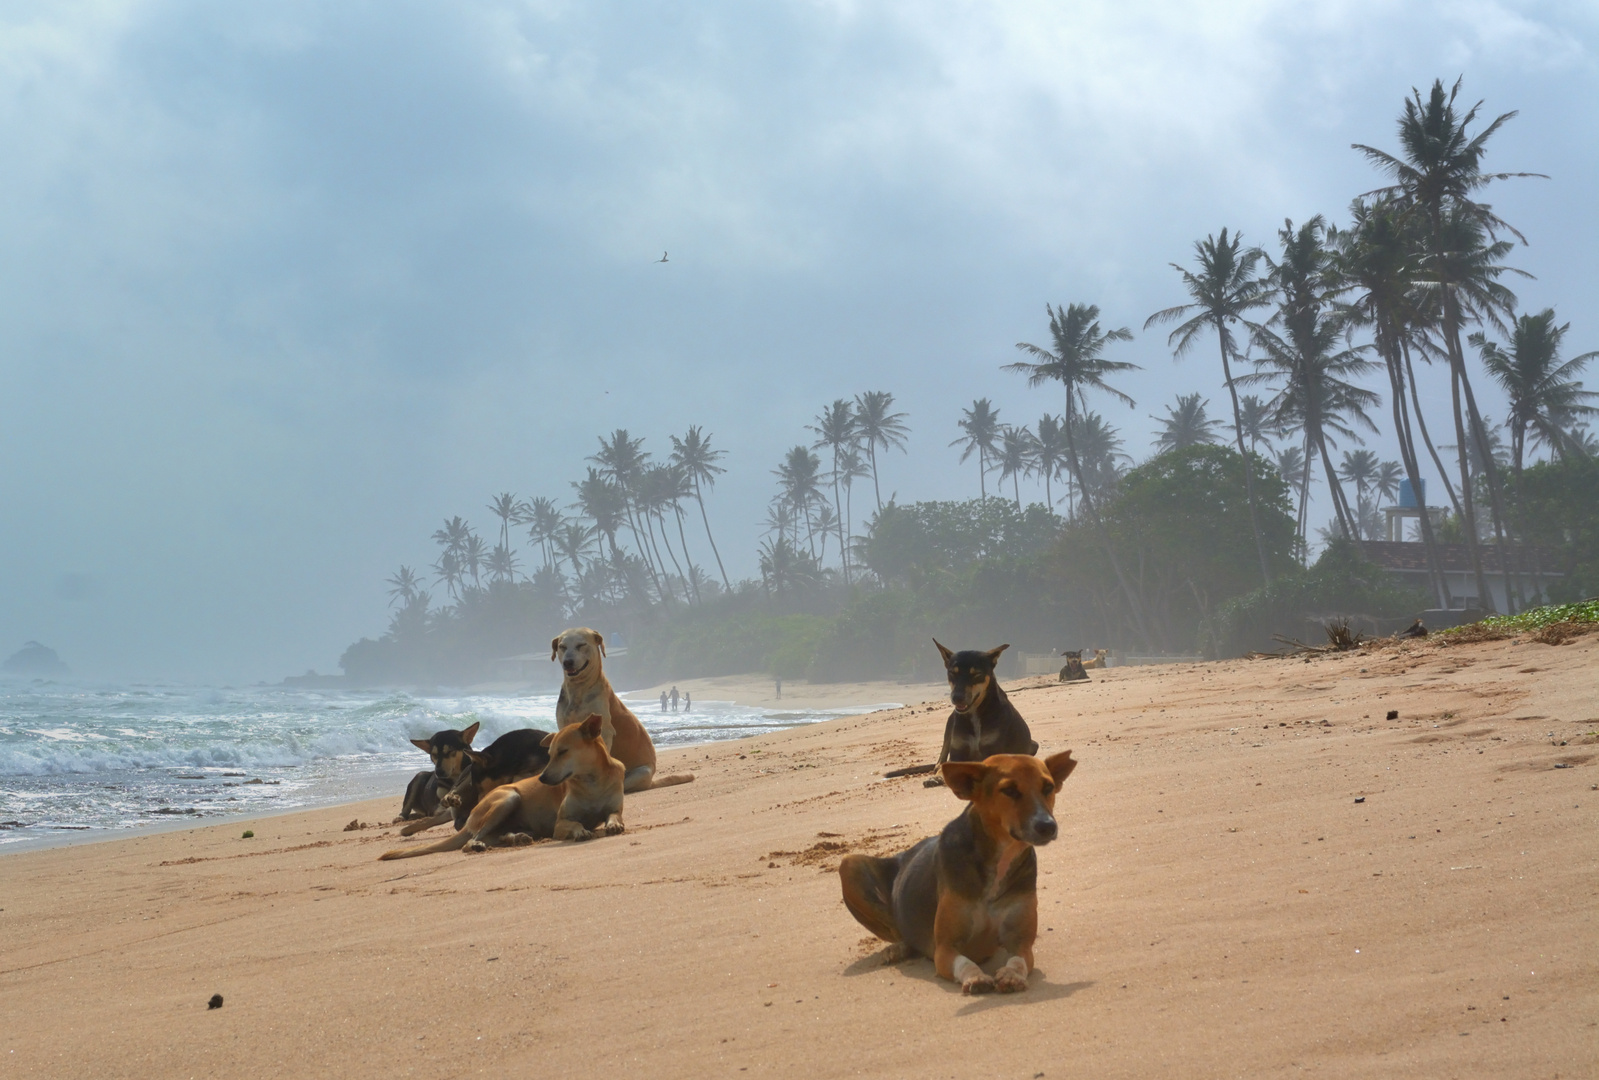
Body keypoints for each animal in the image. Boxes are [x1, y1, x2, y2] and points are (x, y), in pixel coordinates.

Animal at [378, 716, 623, 864]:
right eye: (550, 753)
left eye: (562, 752)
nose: (542, 778)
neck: (591, 782)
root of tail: (469, 821)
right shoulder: (560, 823)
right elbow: (574, 824)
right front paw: (581, 830)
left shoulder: (614, 808)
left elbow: (614, 816)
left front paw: (613, 825)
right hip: (508, 799)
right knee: (470, 842)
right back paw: (480, 842)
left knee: (499, 835)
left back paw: (517, 838)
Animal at [550, 624, 693, 793]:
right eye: (562, 647)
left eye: (581, 645)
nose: (568, 662)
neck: (578, 689)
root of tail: (651, 782)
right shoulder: (563, 726)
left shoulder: (604, 730)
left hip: (642, 771)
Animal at [837, 752, 1074, 998]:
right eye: (1008, 790)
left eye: (1048, 787)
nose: (1047, 826)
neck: (1000, 858)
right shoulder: (944, 949)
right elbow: (964, 962)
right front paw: (975, 977)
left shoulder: (1021, 942)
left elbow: (1019, 960)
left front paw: (1011, 975)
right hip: (848, 865)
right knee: (898, 930)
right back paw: (898, 948)